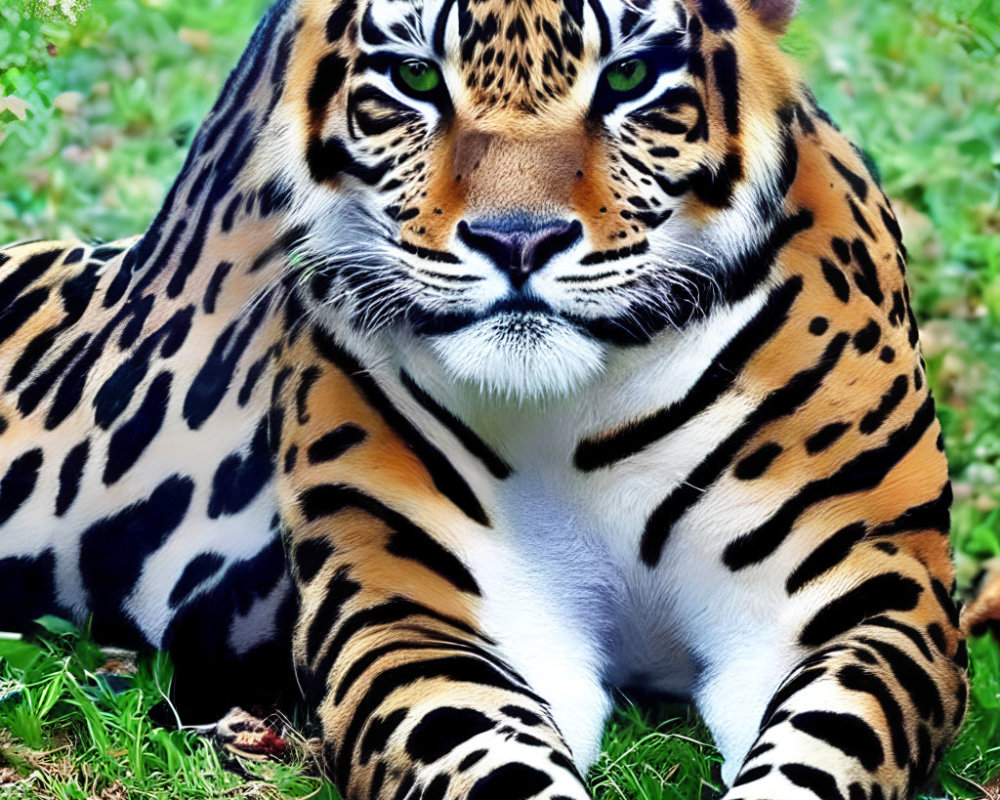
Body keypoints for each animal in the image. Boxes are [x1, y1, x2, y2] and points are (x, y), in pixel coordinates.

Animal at [0, 0, 968, 796]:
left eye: (630, 78)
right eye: (415, 76)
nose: (517, 240)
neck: (587, 410)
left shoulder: (858, 596)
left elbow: (826, 746)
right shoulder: (428, 617)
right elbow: (490, 758)